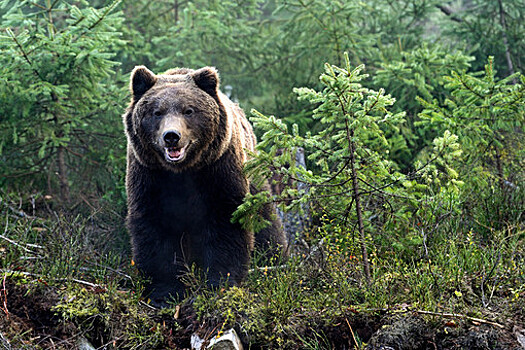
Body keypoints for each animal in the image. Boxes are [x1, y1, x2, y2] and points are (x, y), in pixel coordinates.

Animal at [123, 65, 286, 306]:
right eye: (157, 112)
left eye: (188, 110)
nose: (171, 136)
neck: (182, 170)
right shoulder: (150, 176)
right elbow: (155, 229)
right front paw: (165, 292)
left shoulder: (218, 170)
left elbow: (226, 222)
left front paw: (220, 283)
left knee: (266, 222)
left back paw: (276, 259)